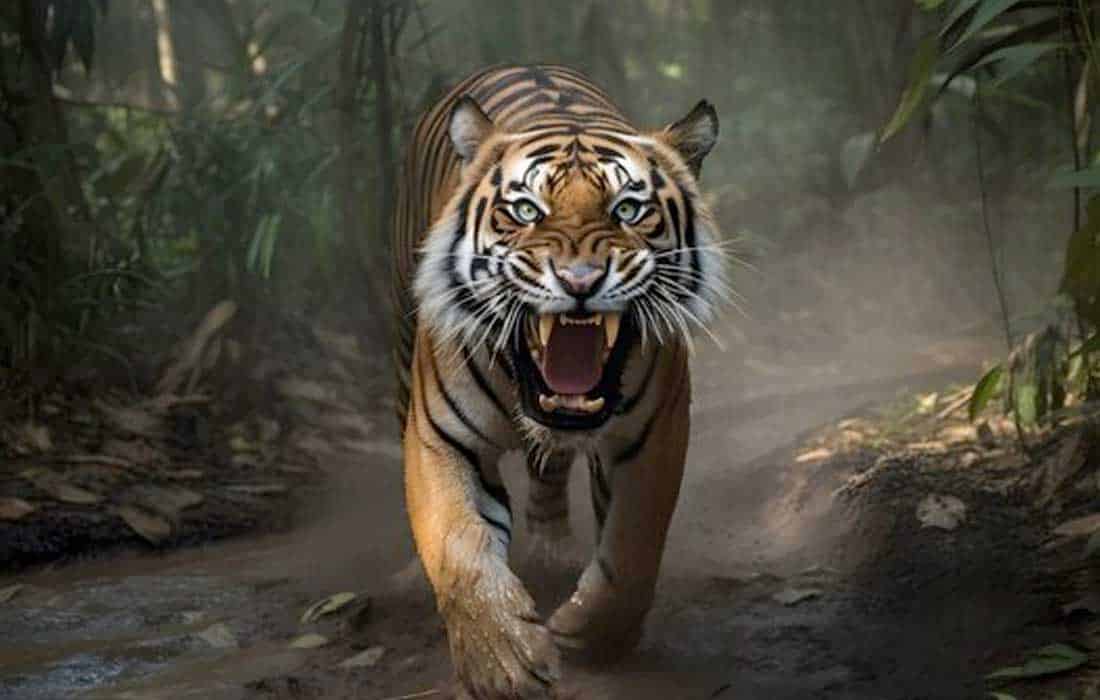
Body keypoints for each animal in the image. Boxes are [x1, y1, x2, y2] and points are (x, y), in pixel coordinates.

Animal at [392, 64, 728, 699]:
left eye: (628, 209)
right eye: (526, 210)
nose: (579, 279)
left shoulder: (655, 434)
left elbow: (633, 545)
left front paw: (588, 633)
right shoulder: (440, 437)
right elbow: (458, 547)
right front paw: (502, 664)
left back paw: (553, 552)